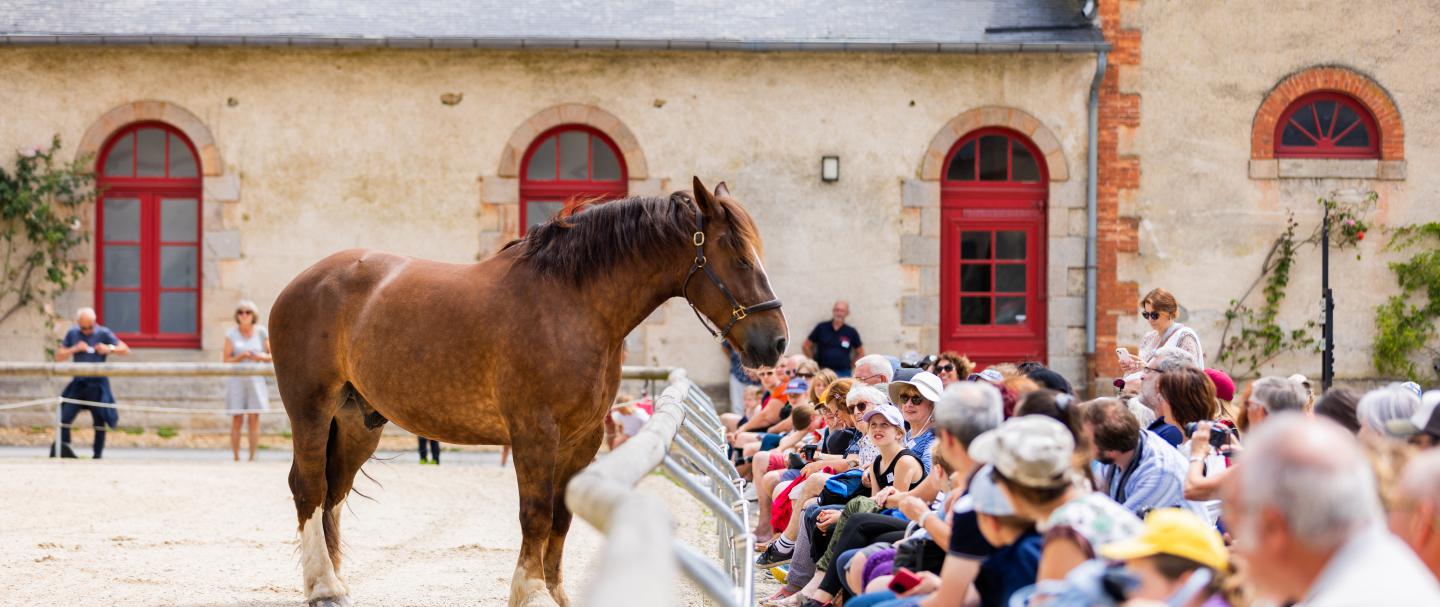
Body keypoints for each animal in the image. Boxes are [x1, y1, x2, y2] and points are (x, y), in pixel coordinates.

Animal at [270, 179, 789, 607]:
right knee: (309, 489)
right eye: (740, 259)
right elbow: (536, 514)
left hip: (358, 421)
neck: (573, 303)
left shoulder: (583, 439)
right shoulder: (535, 432)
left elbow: (561, 516)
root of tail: (302, 283)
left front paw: (554, 592)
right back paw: (323, 588)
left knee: (334, 494)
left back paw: (335, 582)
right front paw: (531, 591)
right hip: (312, 411)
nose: (777, 342)